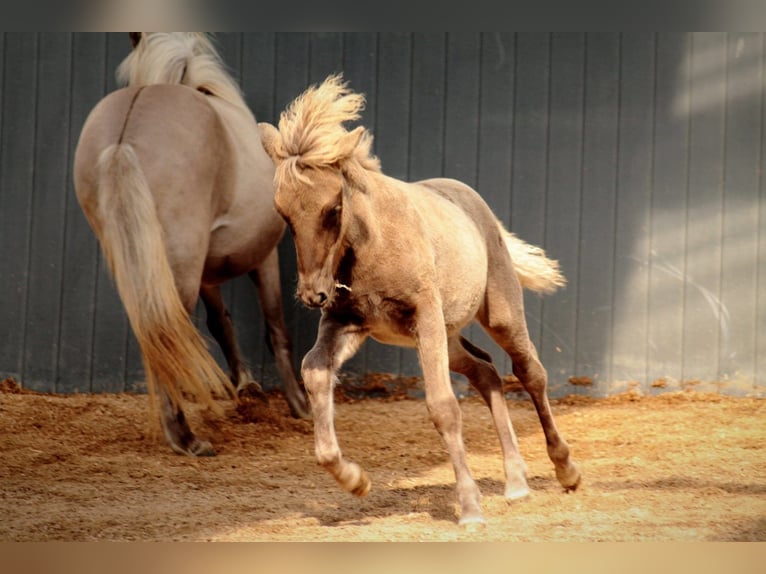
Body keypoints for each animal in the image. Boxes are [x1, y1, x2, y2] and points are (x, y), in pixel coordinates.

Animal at [73, 32, 310, 457]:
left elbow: (221, 323)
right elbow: (276, 328)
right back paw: (186, 437)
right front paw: (300, 406)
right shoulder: (262, 257)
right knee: (168, 331)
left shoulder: (205, 274)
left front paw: (245, 386)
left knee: (156, 332)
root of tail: (123, 136)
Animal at [258, 73, 581, 526]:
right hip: (444, 337)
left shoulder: (423, 315)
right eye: (283, 212)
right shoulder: (345, 323)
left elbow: (442, 406)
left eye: (333, 208)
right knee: (486, 371)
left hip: (495, 315)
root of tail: (480, 208)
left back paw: (565, 470)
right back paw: (516, 481)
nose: (312, 294)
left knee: (530, 372)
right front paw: (353, 479)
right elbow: (315, 373)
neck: (373, 244)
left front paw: (470, 508)